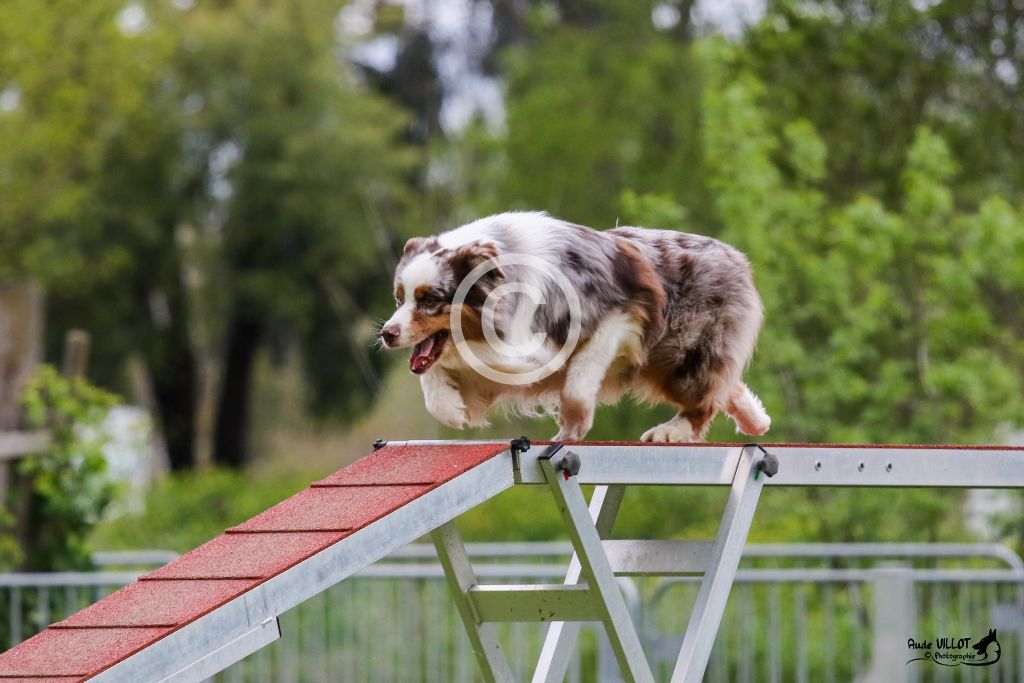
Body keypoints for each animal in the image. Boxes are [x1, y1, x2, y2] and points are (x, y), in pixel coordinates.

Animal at [380, 209, 770, 444]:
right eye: (399, 298)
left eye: (429, 300)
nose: (387, 333)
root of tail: (735, 257)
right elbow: (436, 380)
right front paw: (450, 408)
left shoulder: (619, 318)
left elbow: (579, 379)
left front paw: (573, 425)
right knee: (725, 385)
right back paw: (756, 422)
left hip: (682, 351)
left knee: (705, 395)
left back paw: (671, 431)